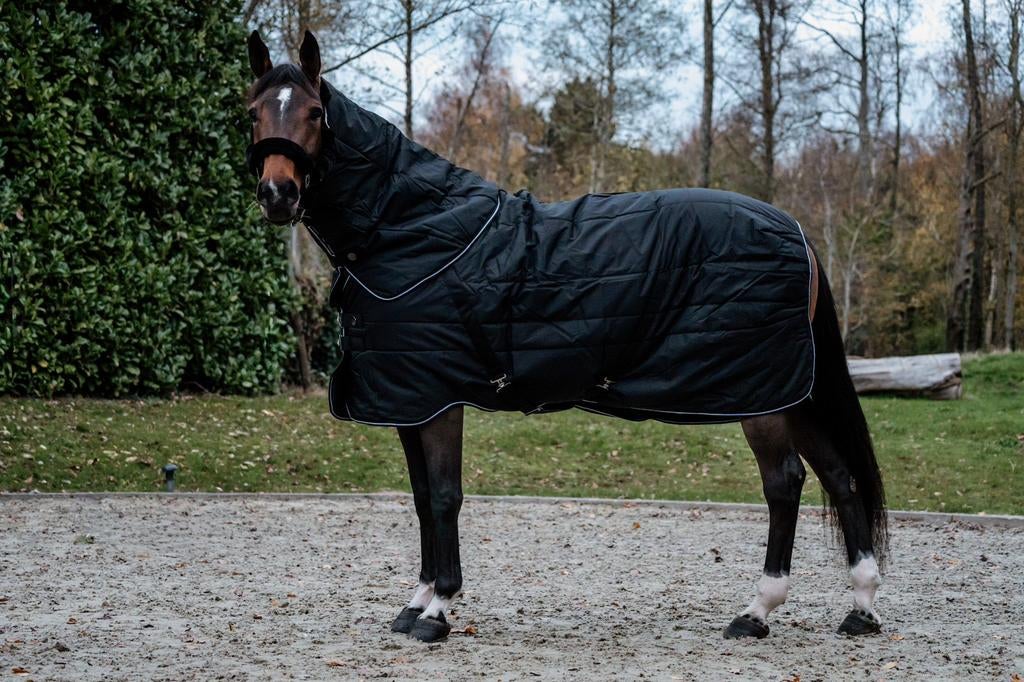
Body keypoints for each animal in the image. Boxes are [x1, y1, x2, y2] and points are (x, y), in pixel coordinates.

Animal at [244, 29, 888, 644]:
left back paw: (757, 611)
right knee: (839, 476)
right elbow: (424, 499)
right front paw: (416, 602)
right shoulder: (408, 400)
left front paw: (439, 609)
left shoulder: (440, 400)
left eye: (313, 112)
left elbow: (446, 496)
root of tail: (796, 231)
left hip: (762, 396)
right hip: (791, 390)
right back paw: (860, 606)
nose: (278, 194)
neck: (412, 228)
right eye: (253, 110)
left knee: (785, 483)